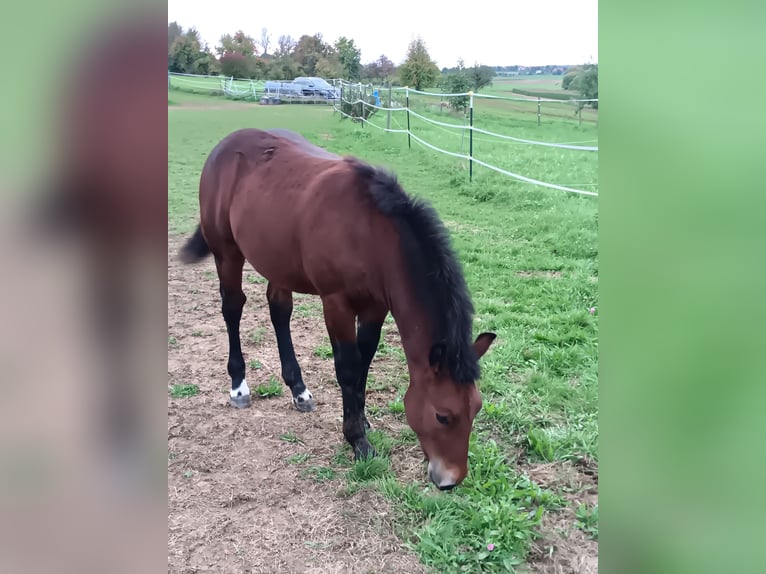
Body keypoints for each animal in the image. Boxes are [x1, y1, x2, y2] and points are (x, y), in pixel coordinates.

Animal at [178, 127, 496, 489]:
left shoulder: (375, 307)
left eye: (476, 408)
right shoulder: (336, 303)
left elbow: (364, 361)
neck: (370, 234)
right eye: (443, 415)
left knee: (279, 310)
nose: (450, 480)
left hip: (277, 260)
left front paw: (362, 418)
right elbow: (347, 366)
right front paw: (357, 439)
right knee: (232, 308)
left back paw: (299, 390)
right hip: (227, 253)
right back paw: (238, 386)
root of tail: (225, 145)